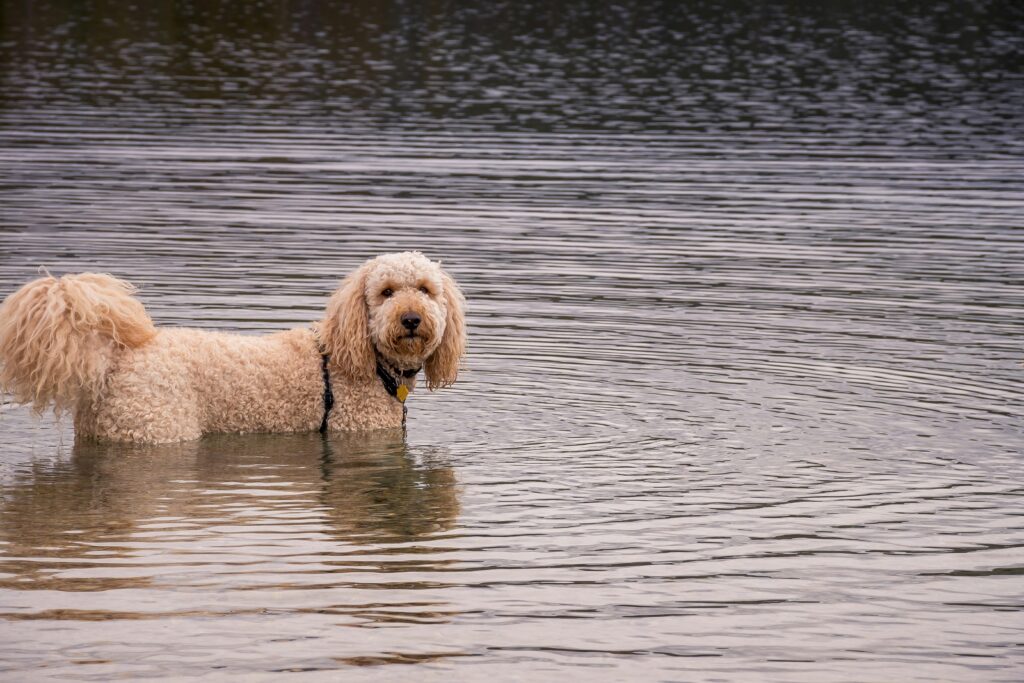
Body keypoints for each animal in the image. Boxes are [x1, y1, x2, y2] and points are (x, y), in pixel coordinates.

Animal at [0, 250, 468, 444]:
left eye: (425, 289)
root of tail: (118, 356)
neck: (364, 359)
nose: (411, 319)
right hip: (156, 429)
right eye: (386, 292)